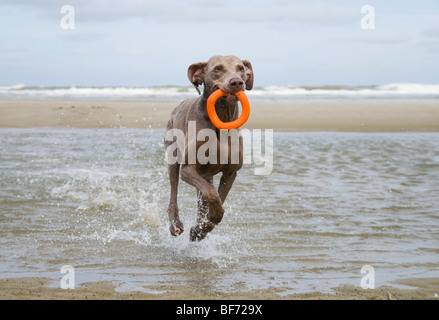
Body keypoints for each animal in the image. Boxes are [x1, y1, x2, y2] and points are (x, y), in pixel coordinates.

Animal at [165, 55, 254, 240]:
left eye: (241, 68)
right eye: (218, 68)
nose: (236, 82)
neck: (221, 120)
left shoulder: (231, 172)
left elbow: (219, 196)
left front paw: (202, 228)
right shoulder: (188, 169)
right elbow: (212, 193)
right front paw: (214, 215)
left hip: (205, 174)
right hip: (173, 156)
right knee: (173, 192)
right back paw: (175, 224)